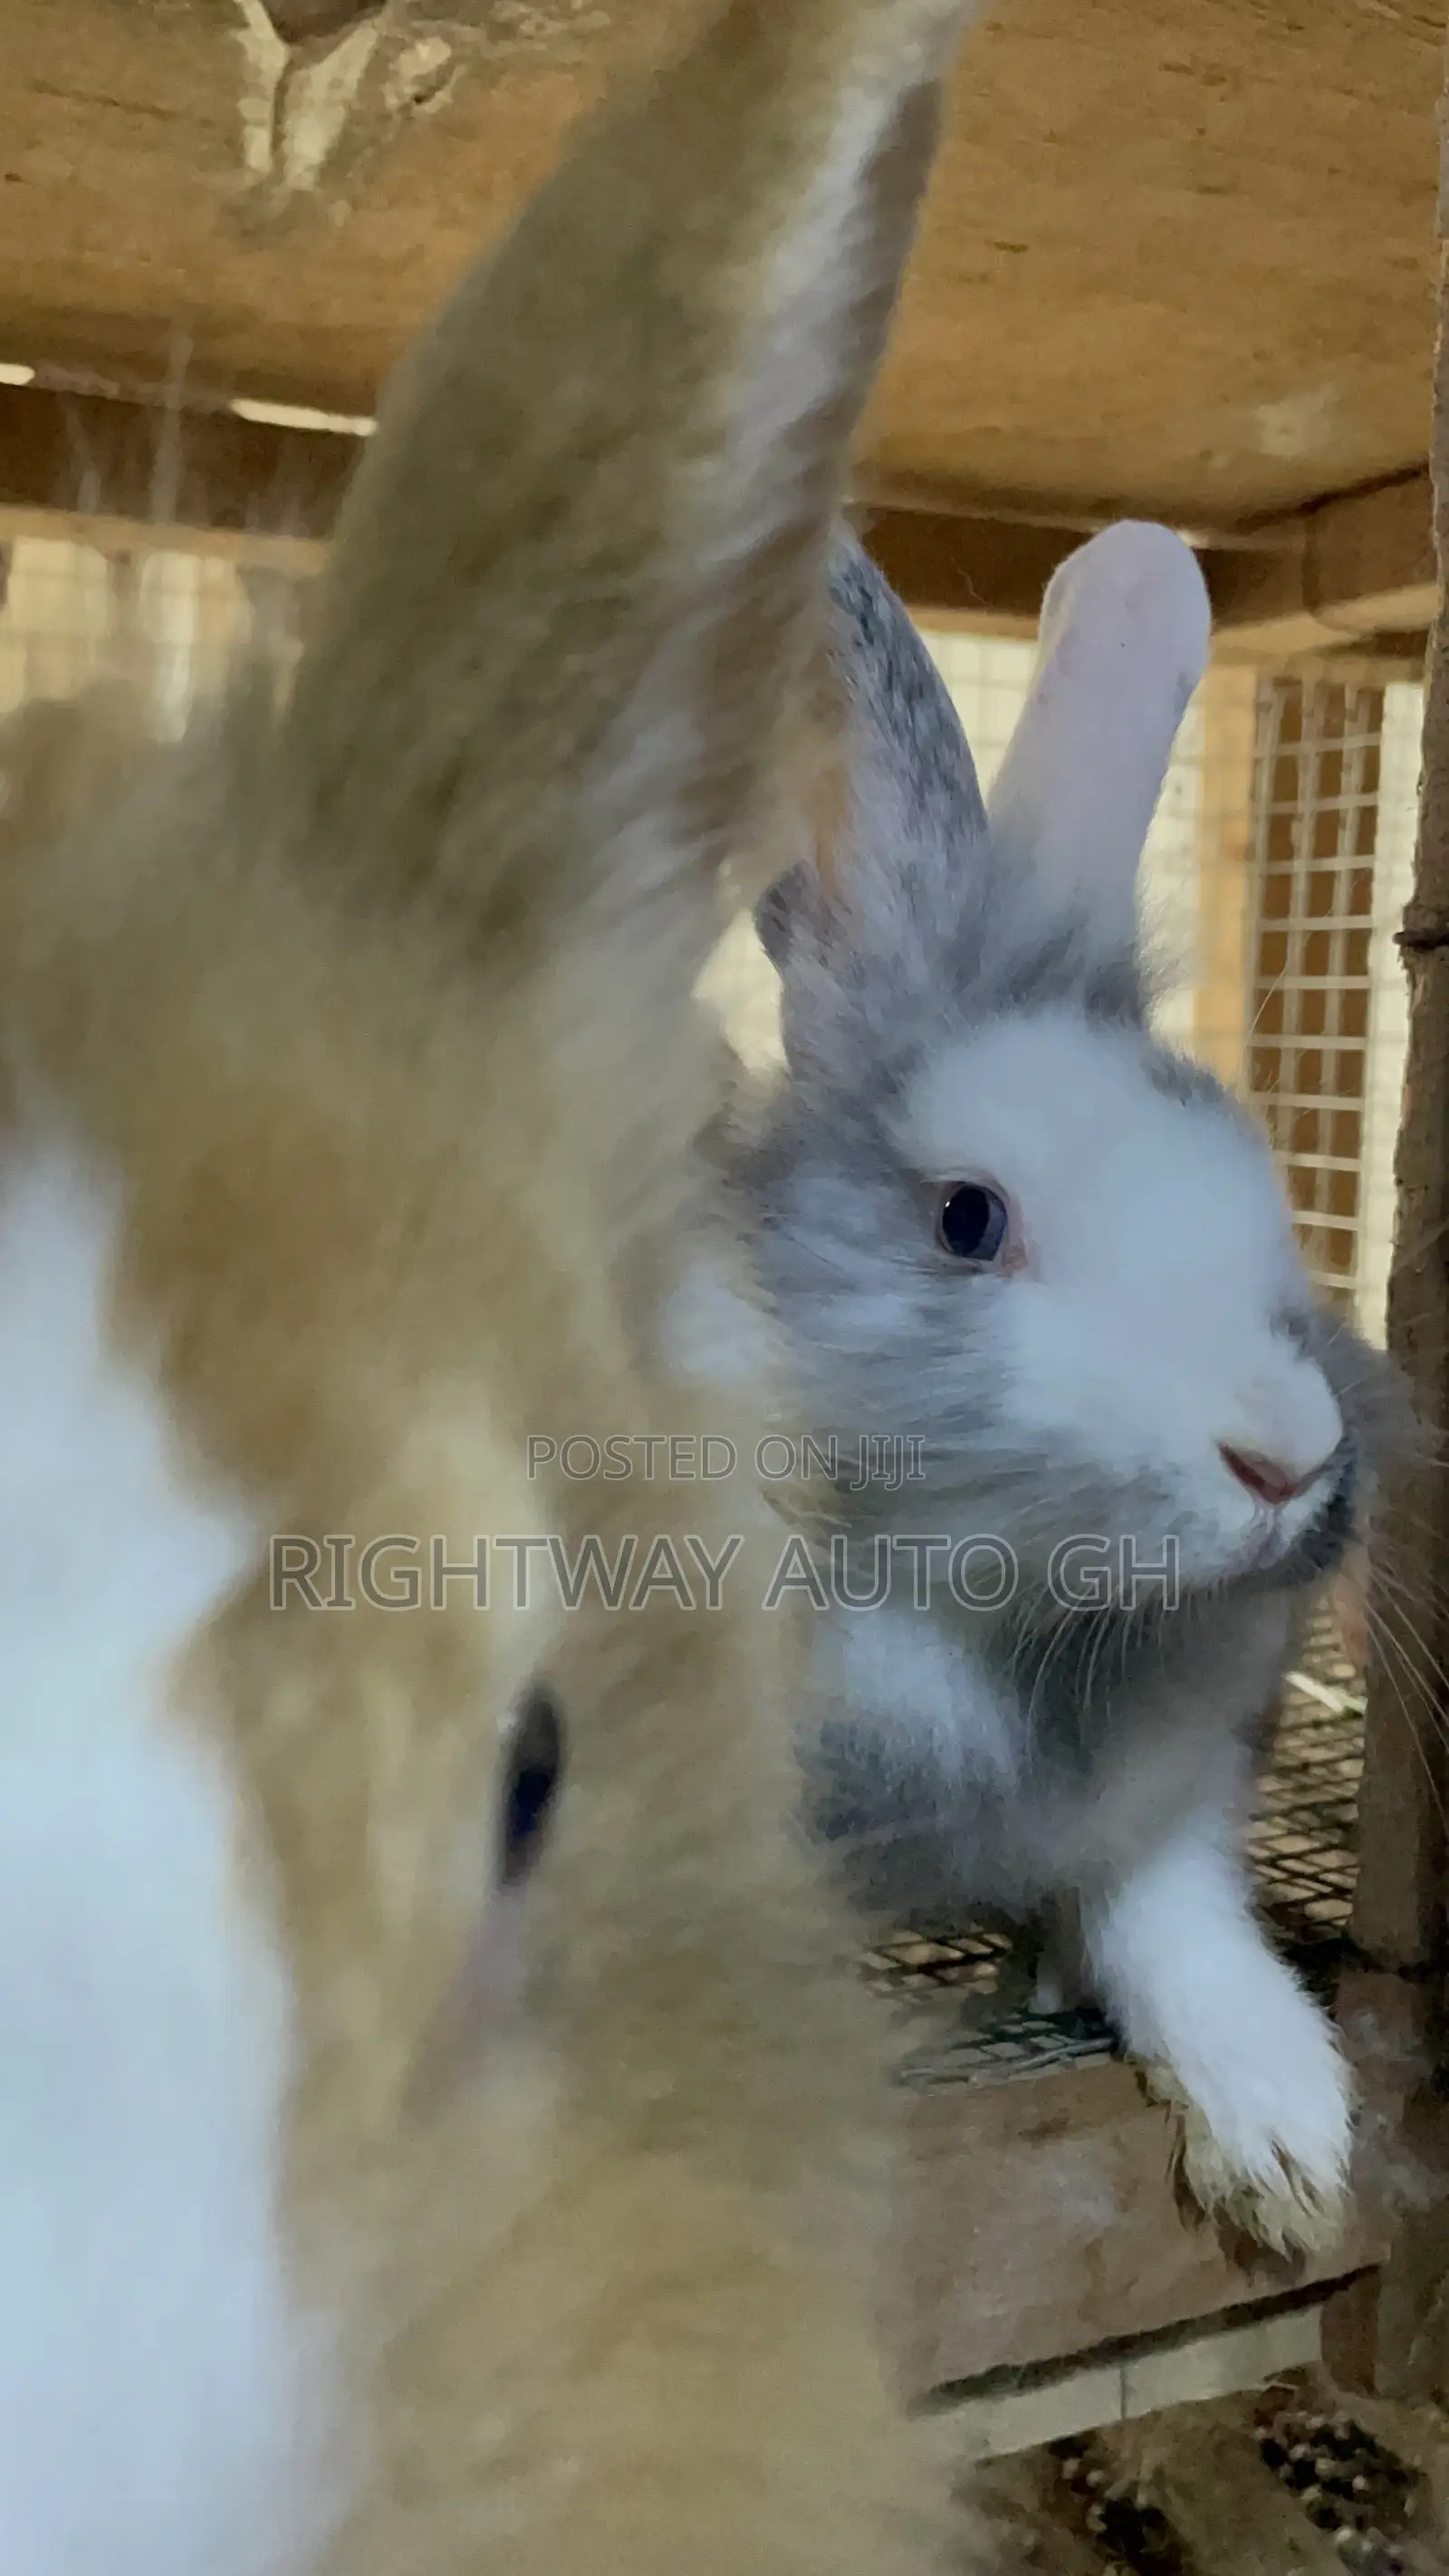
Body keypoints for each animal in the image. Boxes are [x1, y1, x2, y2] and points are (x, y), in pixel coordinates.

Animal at [729, 517, 1414, 2260]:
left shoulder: (1177, 1792)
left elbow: (1170, 1924)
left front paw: (1287, 2141)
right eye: (968, 1219)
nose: (1286, 1459)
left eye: (1257, 1180)